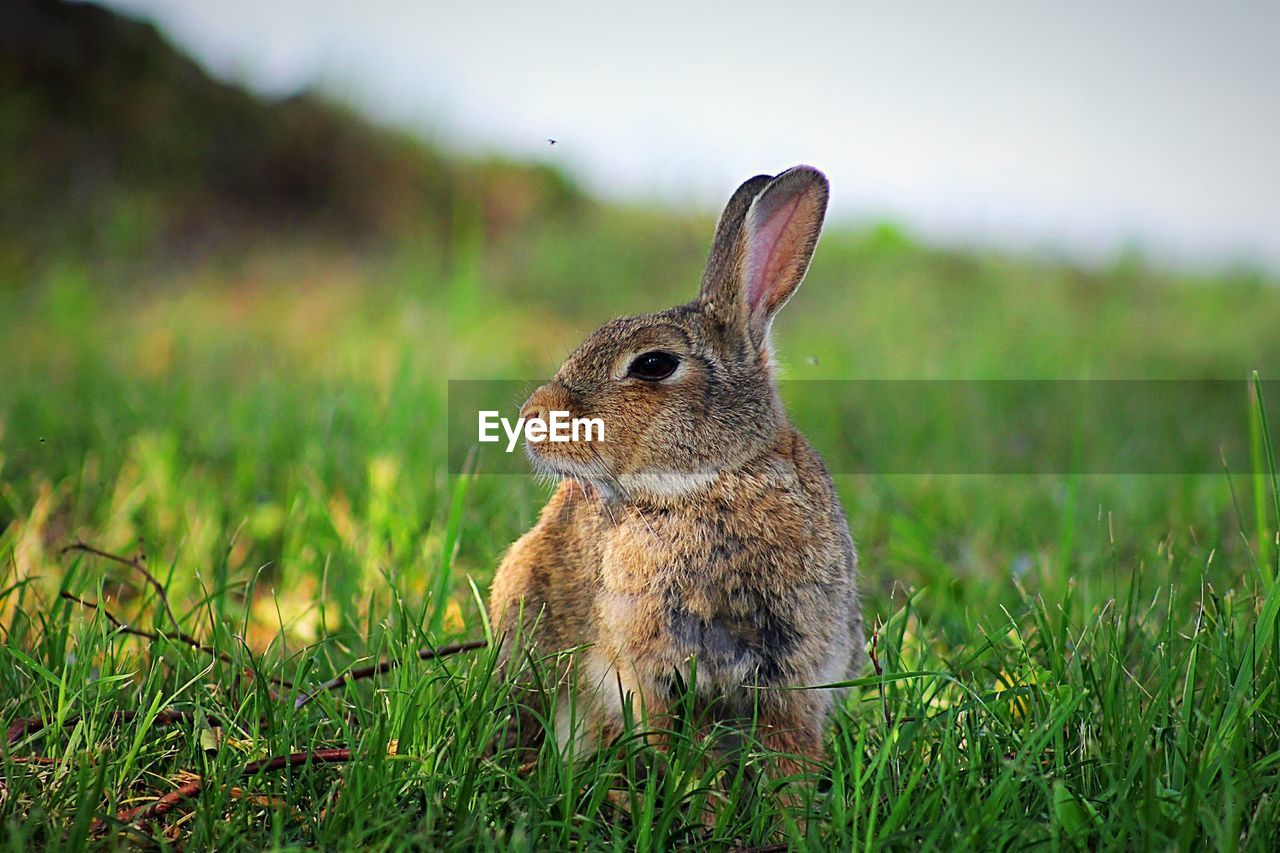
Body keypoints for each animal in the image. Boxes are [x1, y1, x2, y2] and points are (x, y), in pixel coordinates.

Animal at [483, 162, 865, 778]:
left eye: (654, 364)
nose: (533, 419)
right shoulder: (651, 667)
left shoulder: (795, 670)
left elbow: (792, 751)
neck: (714, 482)